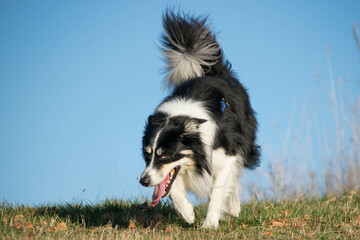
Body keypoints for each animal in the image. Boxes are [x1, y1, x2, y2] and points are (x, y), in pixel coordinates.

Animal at [139, 11, 260, 229]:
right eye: (147, 154)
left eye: (165, 156)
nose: (143, 181)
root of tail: (214, 70)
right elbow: (171, 188)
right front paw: (187, 213)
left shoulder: (226, 155)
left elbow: (218, 190)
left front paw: (210, 224)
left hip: (244, 142)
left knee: (235, 175)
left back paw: (234, 208)